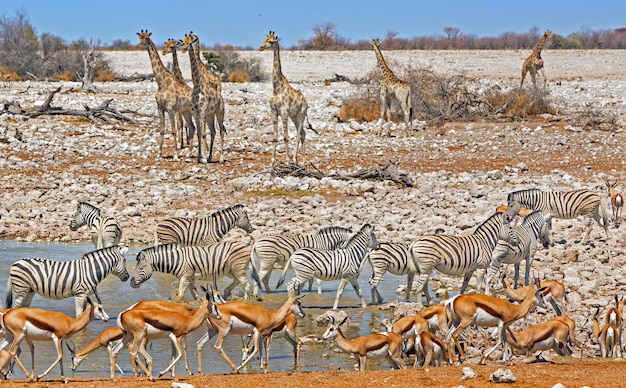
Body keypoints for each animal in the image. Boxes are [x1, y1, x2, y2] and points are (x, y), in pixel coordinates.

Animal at [130, 242, 260, 300]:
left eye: (141, 268)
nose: (131, 283)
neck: (175, 260)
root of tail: (247, 246)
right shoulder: (189, 278)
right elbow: (194, 294)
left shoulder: (185, 277)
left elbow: (181, 293)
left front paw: (178, 304)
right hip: (230, 270)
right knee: (238, 281)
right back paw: (227, 293)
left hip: (237, 268)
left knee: (246, 284)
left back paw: (245, 301)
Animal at [136, 28, 193, 159]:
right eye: (139, 37)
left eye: (146, 37)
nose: (140, 45)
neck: (162, 82)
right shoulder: (160, 108)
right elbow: (161, 130)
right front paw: (159, 153)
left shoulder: (171, 109)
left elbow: (174, 130)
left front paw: (176, 154)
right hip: (186, 111)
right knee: (193, 127)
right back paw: (191, 152)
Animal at [179, 31, 225, 162]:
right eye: (183, 40)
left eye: (190, 40)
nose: (184, 48)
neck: (197, 85)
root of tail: (221, 98)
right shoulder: (196, 112)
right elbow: (199, 133)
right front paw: (200, 157)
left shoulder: (203, 111)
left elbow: (203, 134)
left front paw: (202, 158)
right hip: (210, 115)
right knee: (213, 131)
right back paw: (209, 157)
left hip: (219, 112)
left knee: (221, 131)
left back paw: (221, 157)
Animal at [258, 31, 310, 166]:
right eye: (265, 39)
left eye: (271, 41)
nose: (261, 47)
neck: (277, 88)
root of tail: (306, 102)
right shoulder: (274, 111)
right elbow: (275, 137)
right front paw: (272, 161)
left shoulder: (284, 112)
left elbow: (286, 137)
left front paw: (287, 160)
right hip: (294, 116)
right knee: (303, 133)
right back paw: (302, 161)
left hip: (301, 115)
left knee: (299, 134)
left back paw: (296, 160)